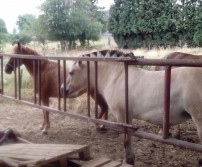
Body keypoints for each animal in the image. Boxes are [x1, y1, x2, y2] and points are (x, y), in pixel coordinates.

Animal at [60, 49, 202, 164]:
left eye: (71, 73)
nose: (63, 89)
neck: (117, 76)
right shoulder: (129, 117)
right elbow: (129, 138)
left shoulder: (121, 116)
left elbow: (126, 140)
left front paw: (128, 160)